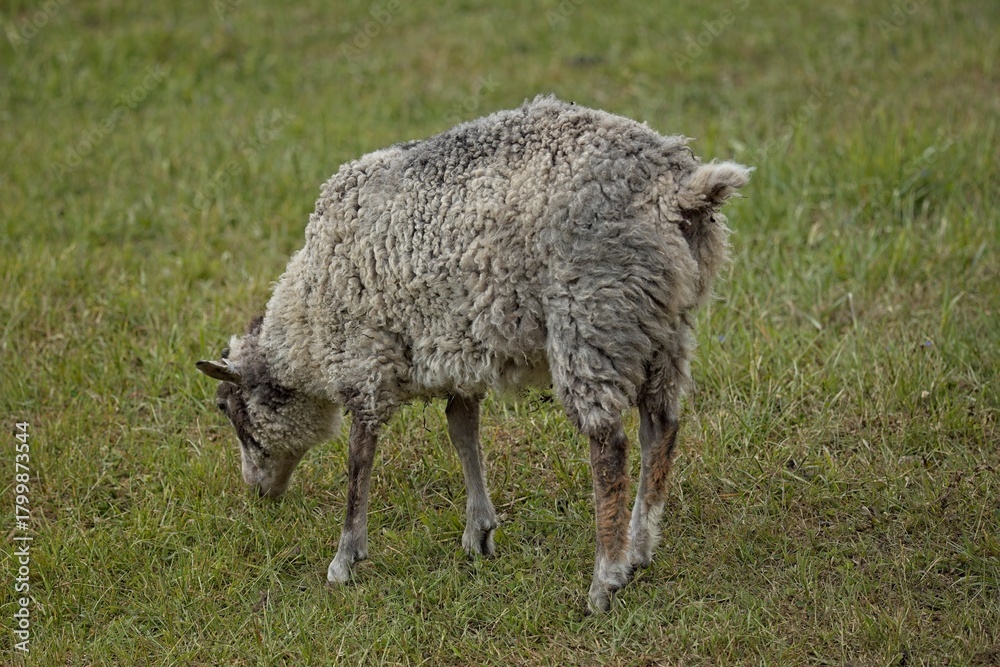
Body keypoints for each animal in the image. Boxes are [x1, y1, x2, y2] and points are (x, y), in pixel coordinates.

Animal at [196, 94, 750, 612]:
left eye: (231, 411)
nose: (257, 492)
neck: (307, 316)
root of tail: (678, 187)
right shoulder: (457, 353)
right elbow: (462, 429)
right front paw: (479, 531)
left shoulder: (364, 361)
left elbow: (359, 457)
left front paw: (345, 558)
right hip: (664, 325)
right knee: (660, 426)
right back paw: (639, 549)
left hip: (592, 313)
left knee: (608, 444)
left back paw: (605, 578)